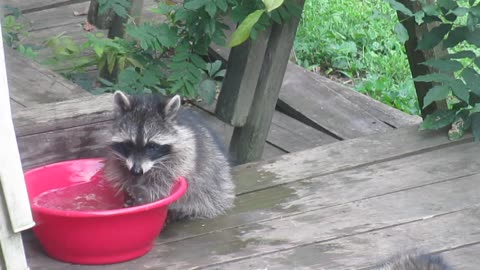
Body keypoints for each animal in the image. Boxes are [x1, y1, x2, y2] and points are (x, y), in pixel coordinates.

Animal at [104, 90, 235, 221]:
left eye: (151, 146)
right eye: (128, 145)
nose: (136, 171)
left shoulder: (185, 153)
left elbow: (164, 181)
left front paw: (143, 195)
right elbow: (121, 175)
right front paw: (127, 192)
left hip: (214, 180)